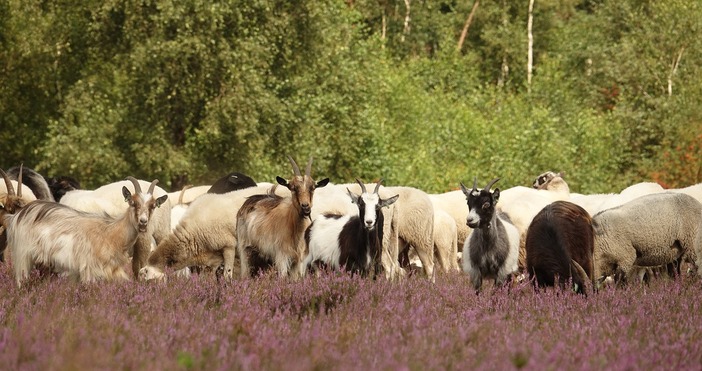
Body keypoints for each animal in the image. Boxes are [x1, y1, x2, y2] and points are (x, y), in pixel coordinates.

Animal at [6, 177, 168, 288]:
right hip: (23, 256)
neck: (111, 232)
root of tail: (21, 214)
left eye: (153, 206)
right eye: (133, 202)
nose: (143, 222)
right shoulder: (90, 269)